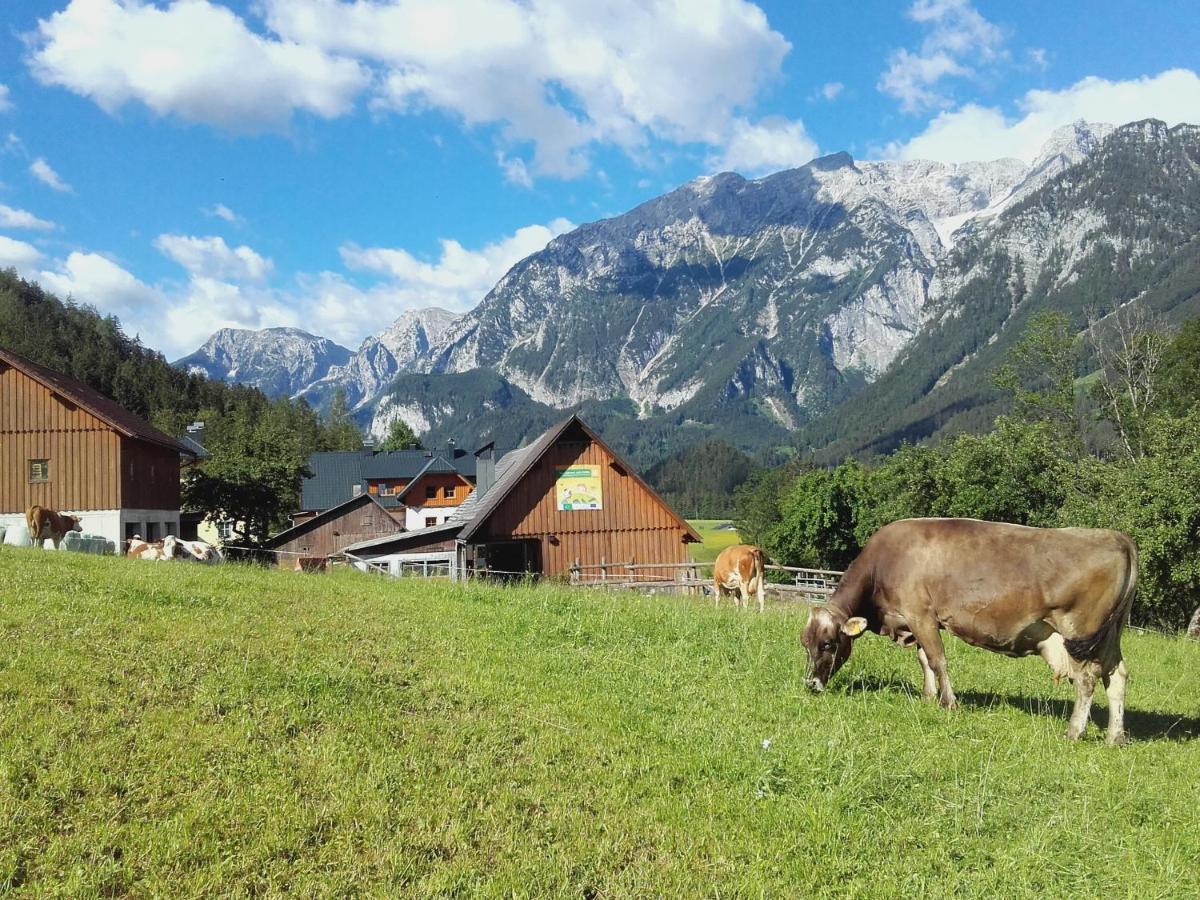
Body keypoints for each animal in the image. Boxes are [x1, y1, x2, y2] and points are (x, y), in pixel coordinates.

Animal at [801, 520, 1137, 748]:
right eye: (805, 644)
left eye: (828, 644)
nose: (811, 684)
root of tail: (1116, 536)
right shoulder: (918, 623)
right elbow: (925, 660)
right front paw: (928, 696)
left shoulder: (921, 615)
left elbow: (938, 660)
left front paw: (949, 702)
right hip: (1110, 636)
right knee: (1117, 675)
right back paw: (1114, 736)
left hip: (1079, 633)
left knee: (1086, 678)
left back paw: (1074, 731)